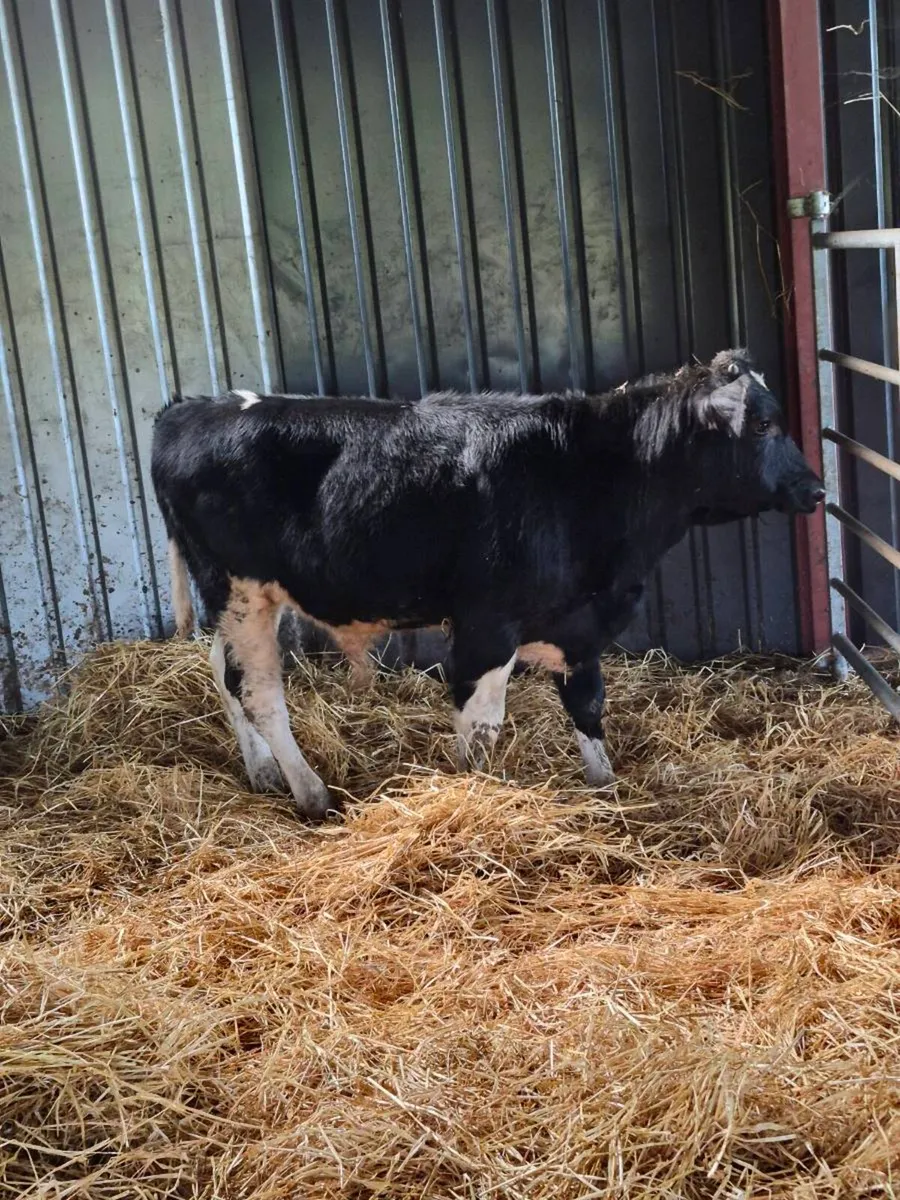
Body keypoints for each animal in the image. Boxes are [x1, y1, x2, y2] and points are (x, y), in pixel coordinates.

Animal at [151, 349, 825, 821]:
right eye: (763, 424)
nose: (816, 489)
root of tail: (188, 408)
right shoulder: (486, 625)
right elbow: (481, 728)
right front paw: (480, 795)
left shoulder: (576, 621)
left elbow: (588, 706)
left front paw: (606, 790)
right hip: (242, 590)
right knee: (259, 690)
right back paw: (312, 793)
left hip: (237, 601)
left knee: (224, 673)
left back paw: (263, 772)